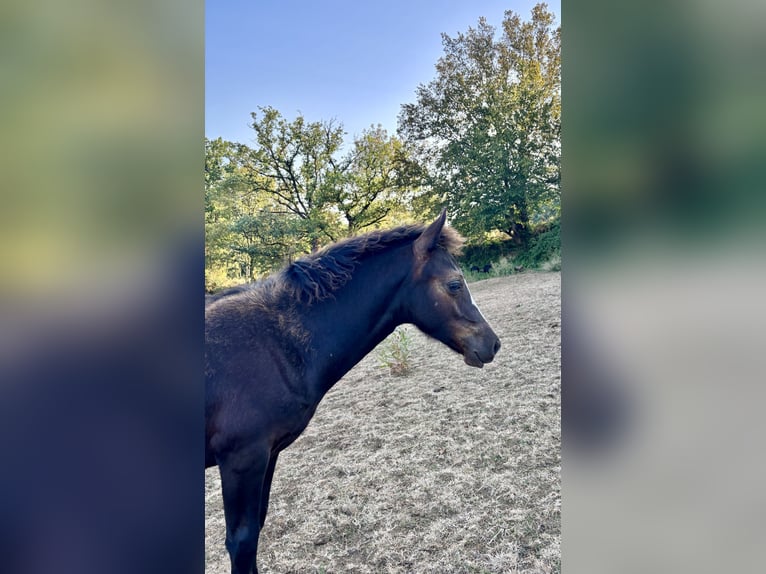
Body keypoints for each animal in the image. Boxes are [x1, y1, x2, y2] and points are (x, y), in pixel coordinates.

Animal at [205, 210, 501, 574]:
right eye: (454, 284)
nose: (492, 344)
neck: (274, 343)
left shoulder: (267, 455)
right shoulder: (242, 460)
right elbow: (243, 542)